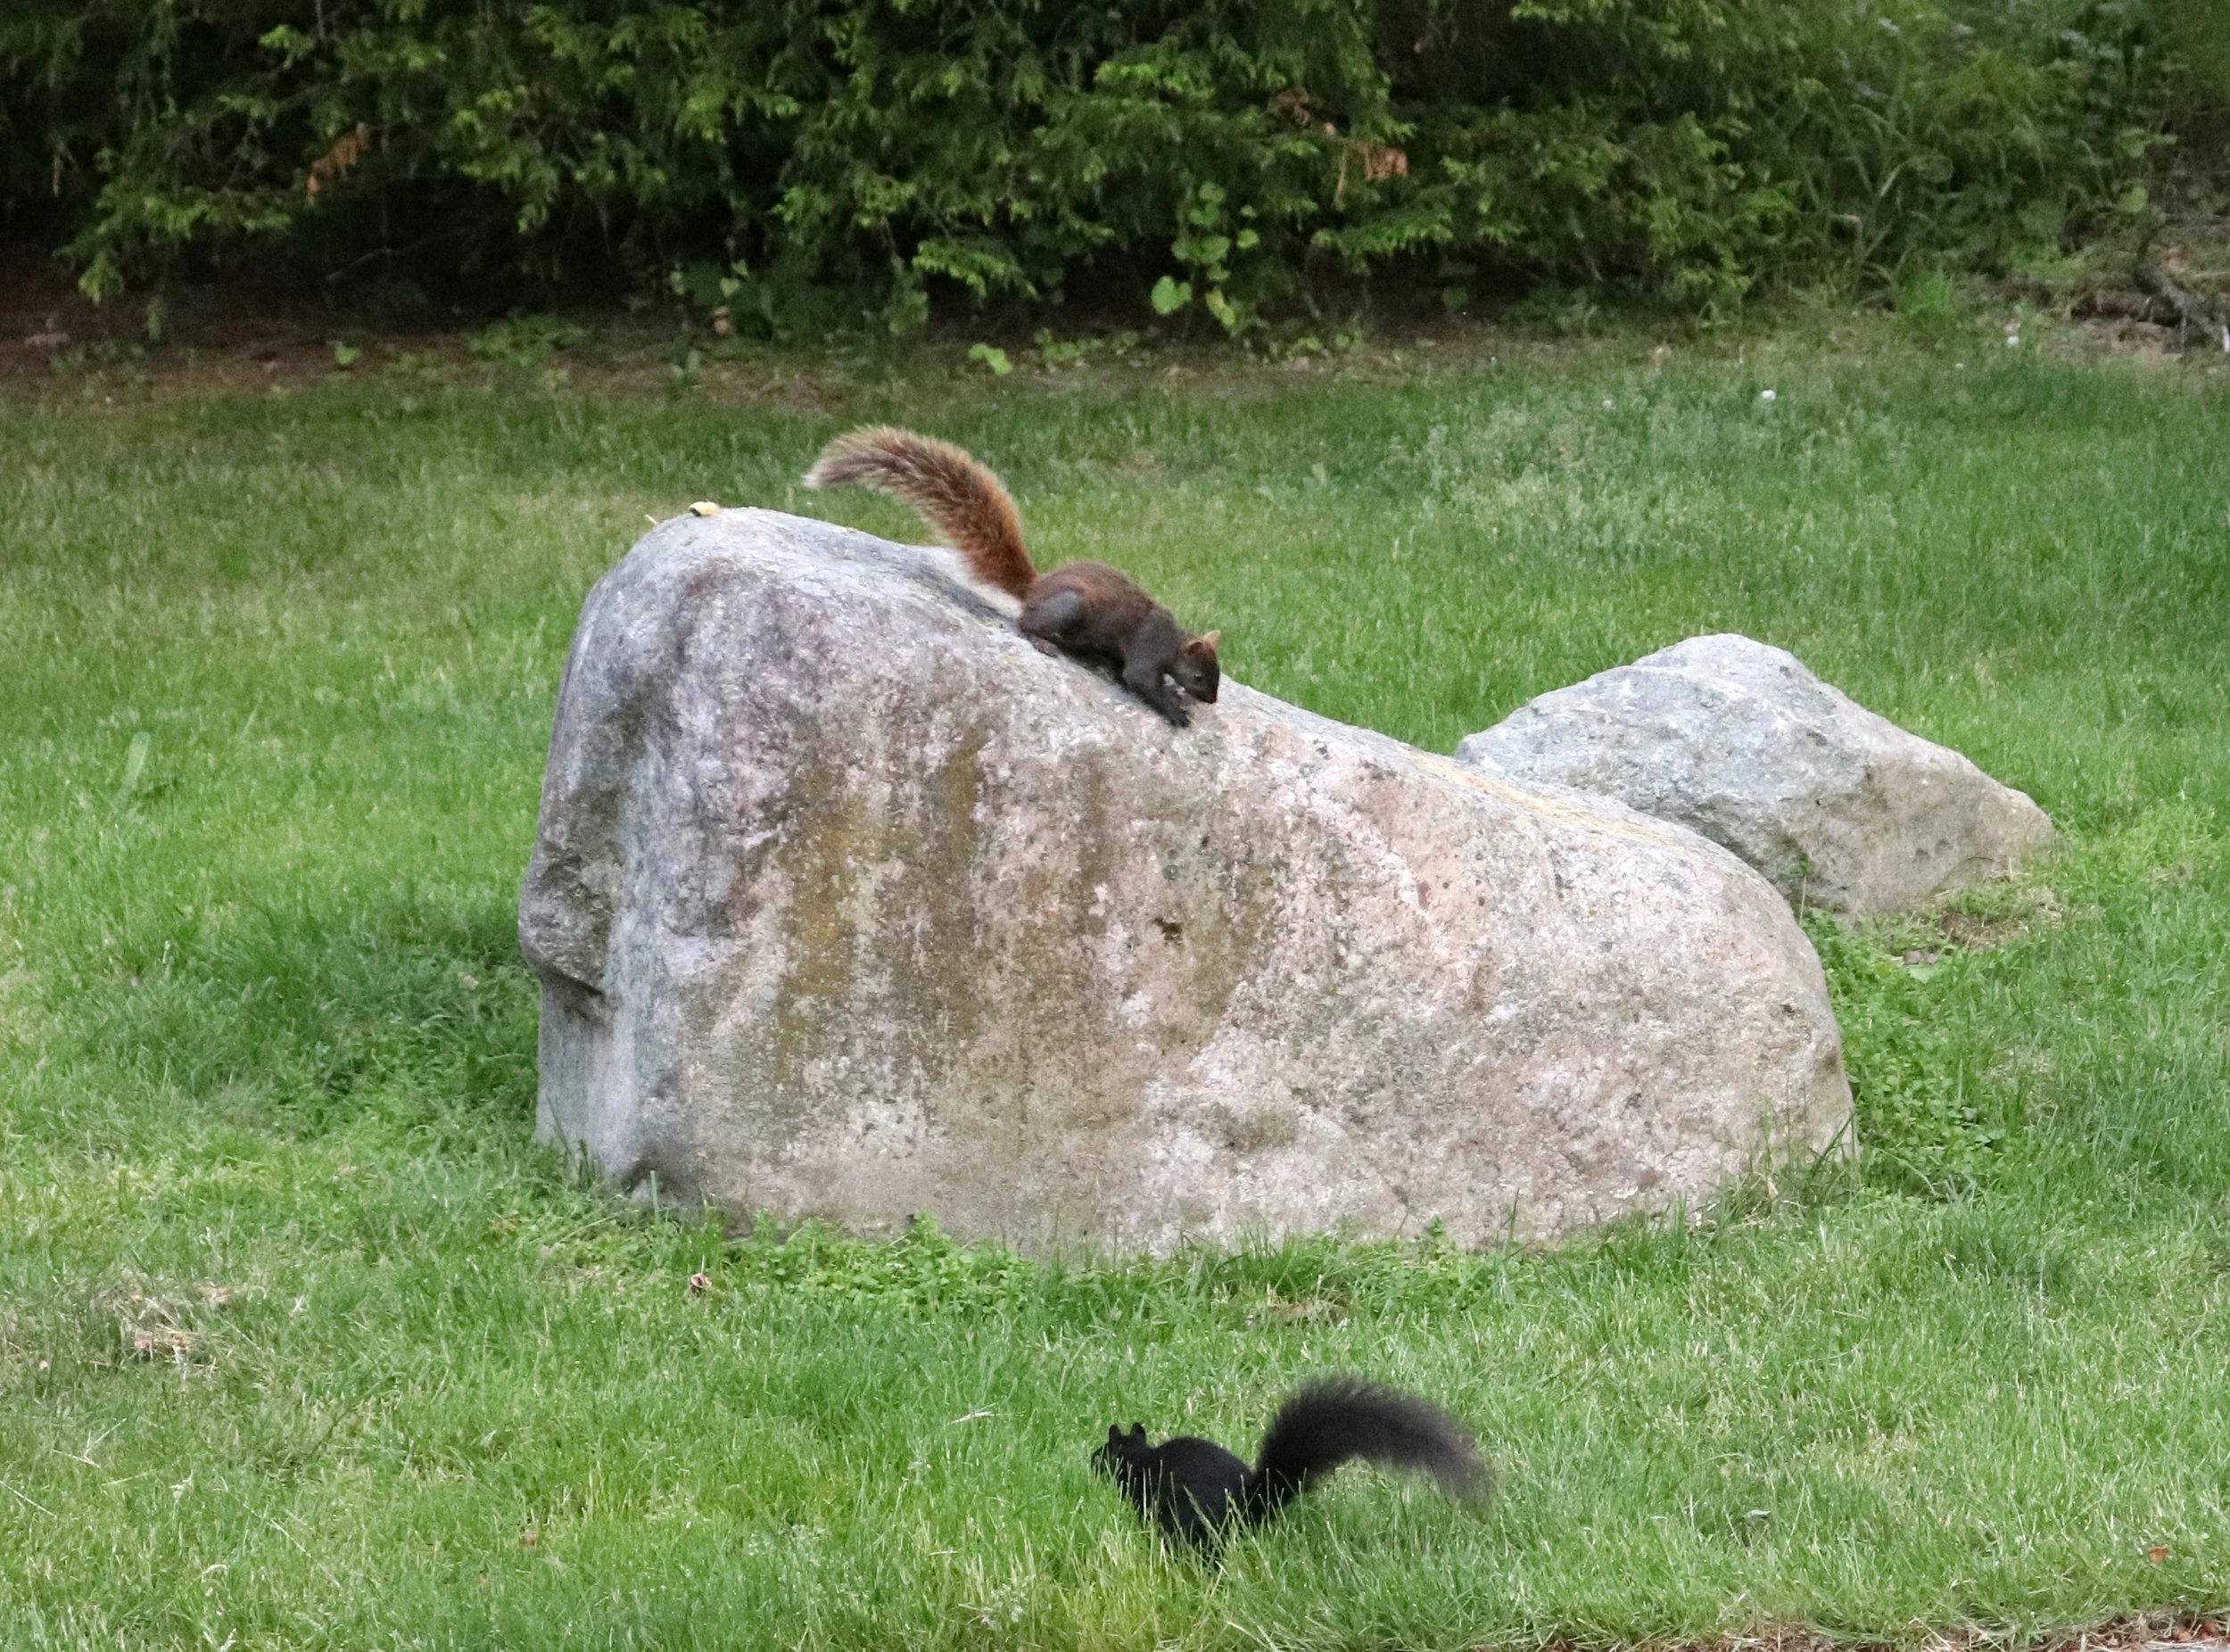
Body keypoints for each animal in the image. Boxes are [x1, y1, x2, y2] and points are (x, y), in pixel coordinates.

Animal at [803, 426, 1220, 727]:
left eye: (1216, 675)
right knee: (1025, 623)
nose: (1212, 699)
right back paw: (1044, 641)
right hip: (1069, 607)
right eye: (1200, 677)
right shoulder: (1147, 648)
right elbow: (1138, 678)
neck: (1175, 640)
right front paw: (1175, 711)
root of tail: (1036, 588)